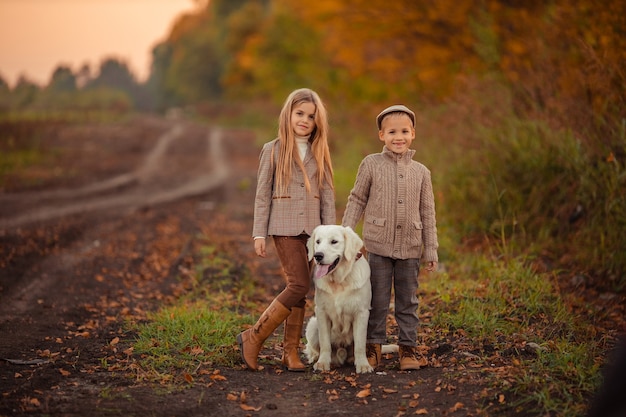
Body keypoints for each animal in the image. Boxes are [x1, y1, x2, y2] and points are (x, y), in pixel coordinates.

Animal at [302, 226, 370, 372]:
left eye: (334, 241)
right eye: (318, 242)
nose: (318, 256)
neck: (339, 281)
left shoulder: (362, 313)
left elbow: (360, 345)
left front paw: (363, 365)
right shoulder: (321, 312)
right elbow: (325, 343)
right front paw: (322, 363)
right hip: (313, 325)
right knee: (313, 348)